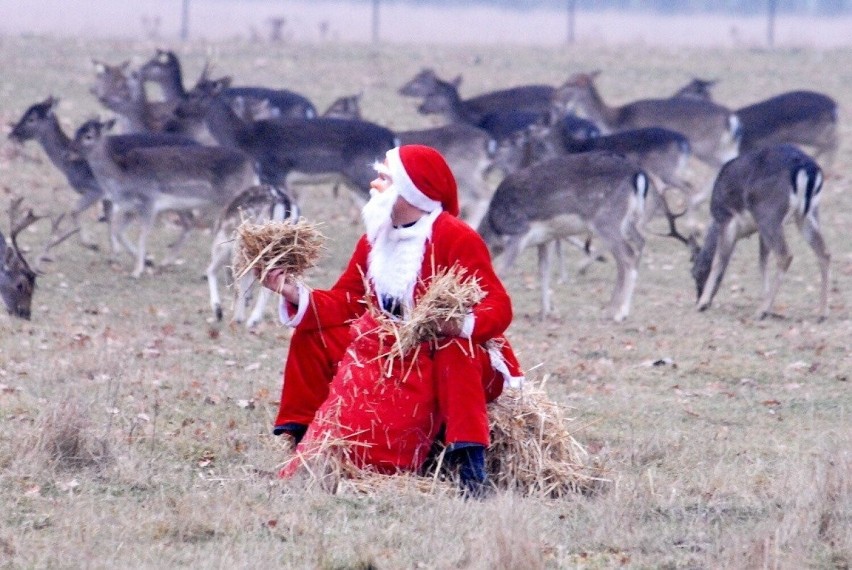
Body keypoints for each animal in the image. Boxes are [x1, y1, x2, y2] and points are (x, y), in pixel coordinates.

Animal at [71, 117, 258, 278]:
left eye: (88, 136)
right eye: (76, 131)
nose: (70, 152)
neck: (121, 177)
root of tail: (251, 167)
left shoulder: (149, 203)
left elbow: (142, 235)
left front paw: (137, 271)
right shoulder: (131, 208)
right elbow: (118, 231)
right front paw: (144, 261)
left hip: (229, 201)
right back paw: (167, 263)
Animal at [480, 150, 652, 320]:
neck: (495, 229)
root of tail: (638, 174)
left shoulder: (519, 232)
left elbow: (502, 271)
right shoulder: (545, 239)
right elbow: (543, 272)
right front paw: (545, 312)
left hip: (607, 220)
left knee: (628, 256)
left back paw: (619, 313)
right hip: (626, 222)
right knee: (638, 244)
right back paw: (611, 310)